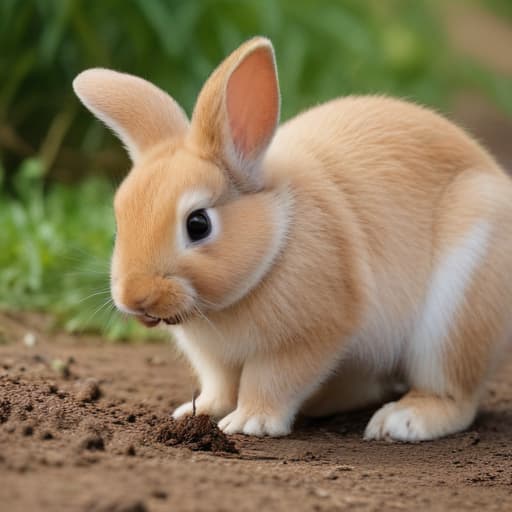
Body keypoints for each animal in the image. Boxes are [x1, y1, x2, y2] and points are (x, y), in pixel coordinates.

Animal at [74, 38, 512, 442]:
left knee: (454, 394)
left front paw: (249, 423)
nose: (135, 298)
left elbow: (270, 380)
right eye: (119, 219)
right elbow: (220, 385)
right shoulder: (215, 359)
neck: (275, 241)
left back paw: (400, 421)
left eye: (198, 224)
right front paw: (197, 412)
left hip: (456, 314)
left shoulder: (306, 338)